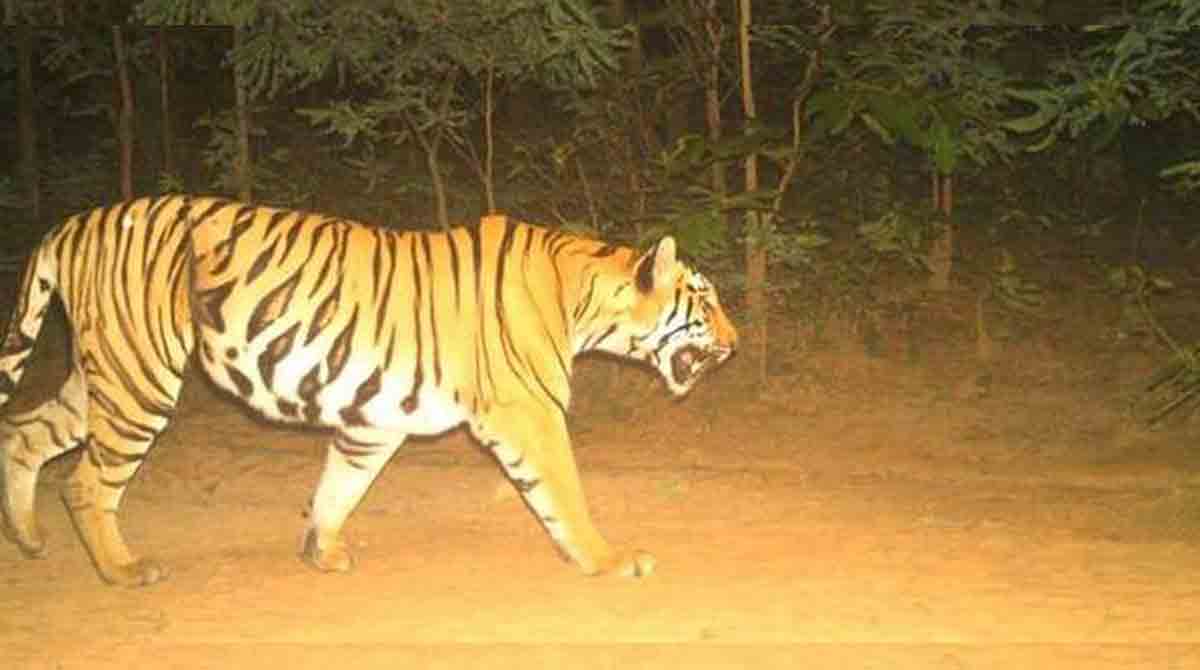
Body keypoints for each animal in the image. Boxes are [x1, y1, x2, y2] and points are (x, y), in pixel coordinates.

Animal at [0, 195, 736, 587]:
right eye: (706, 301)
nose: (738, 339)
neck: (582, 297)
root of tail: (72, 222)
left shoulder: (373, 420)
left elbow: (339, 486)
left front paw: (320, 553)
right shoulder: (529, 413)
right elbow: (567, 494)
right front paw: (609, 560)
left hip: (101, 377)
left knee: (24, 435)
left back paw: (29, 539)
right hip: (139, 379)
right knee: (85, 483)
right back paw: (122, 570)